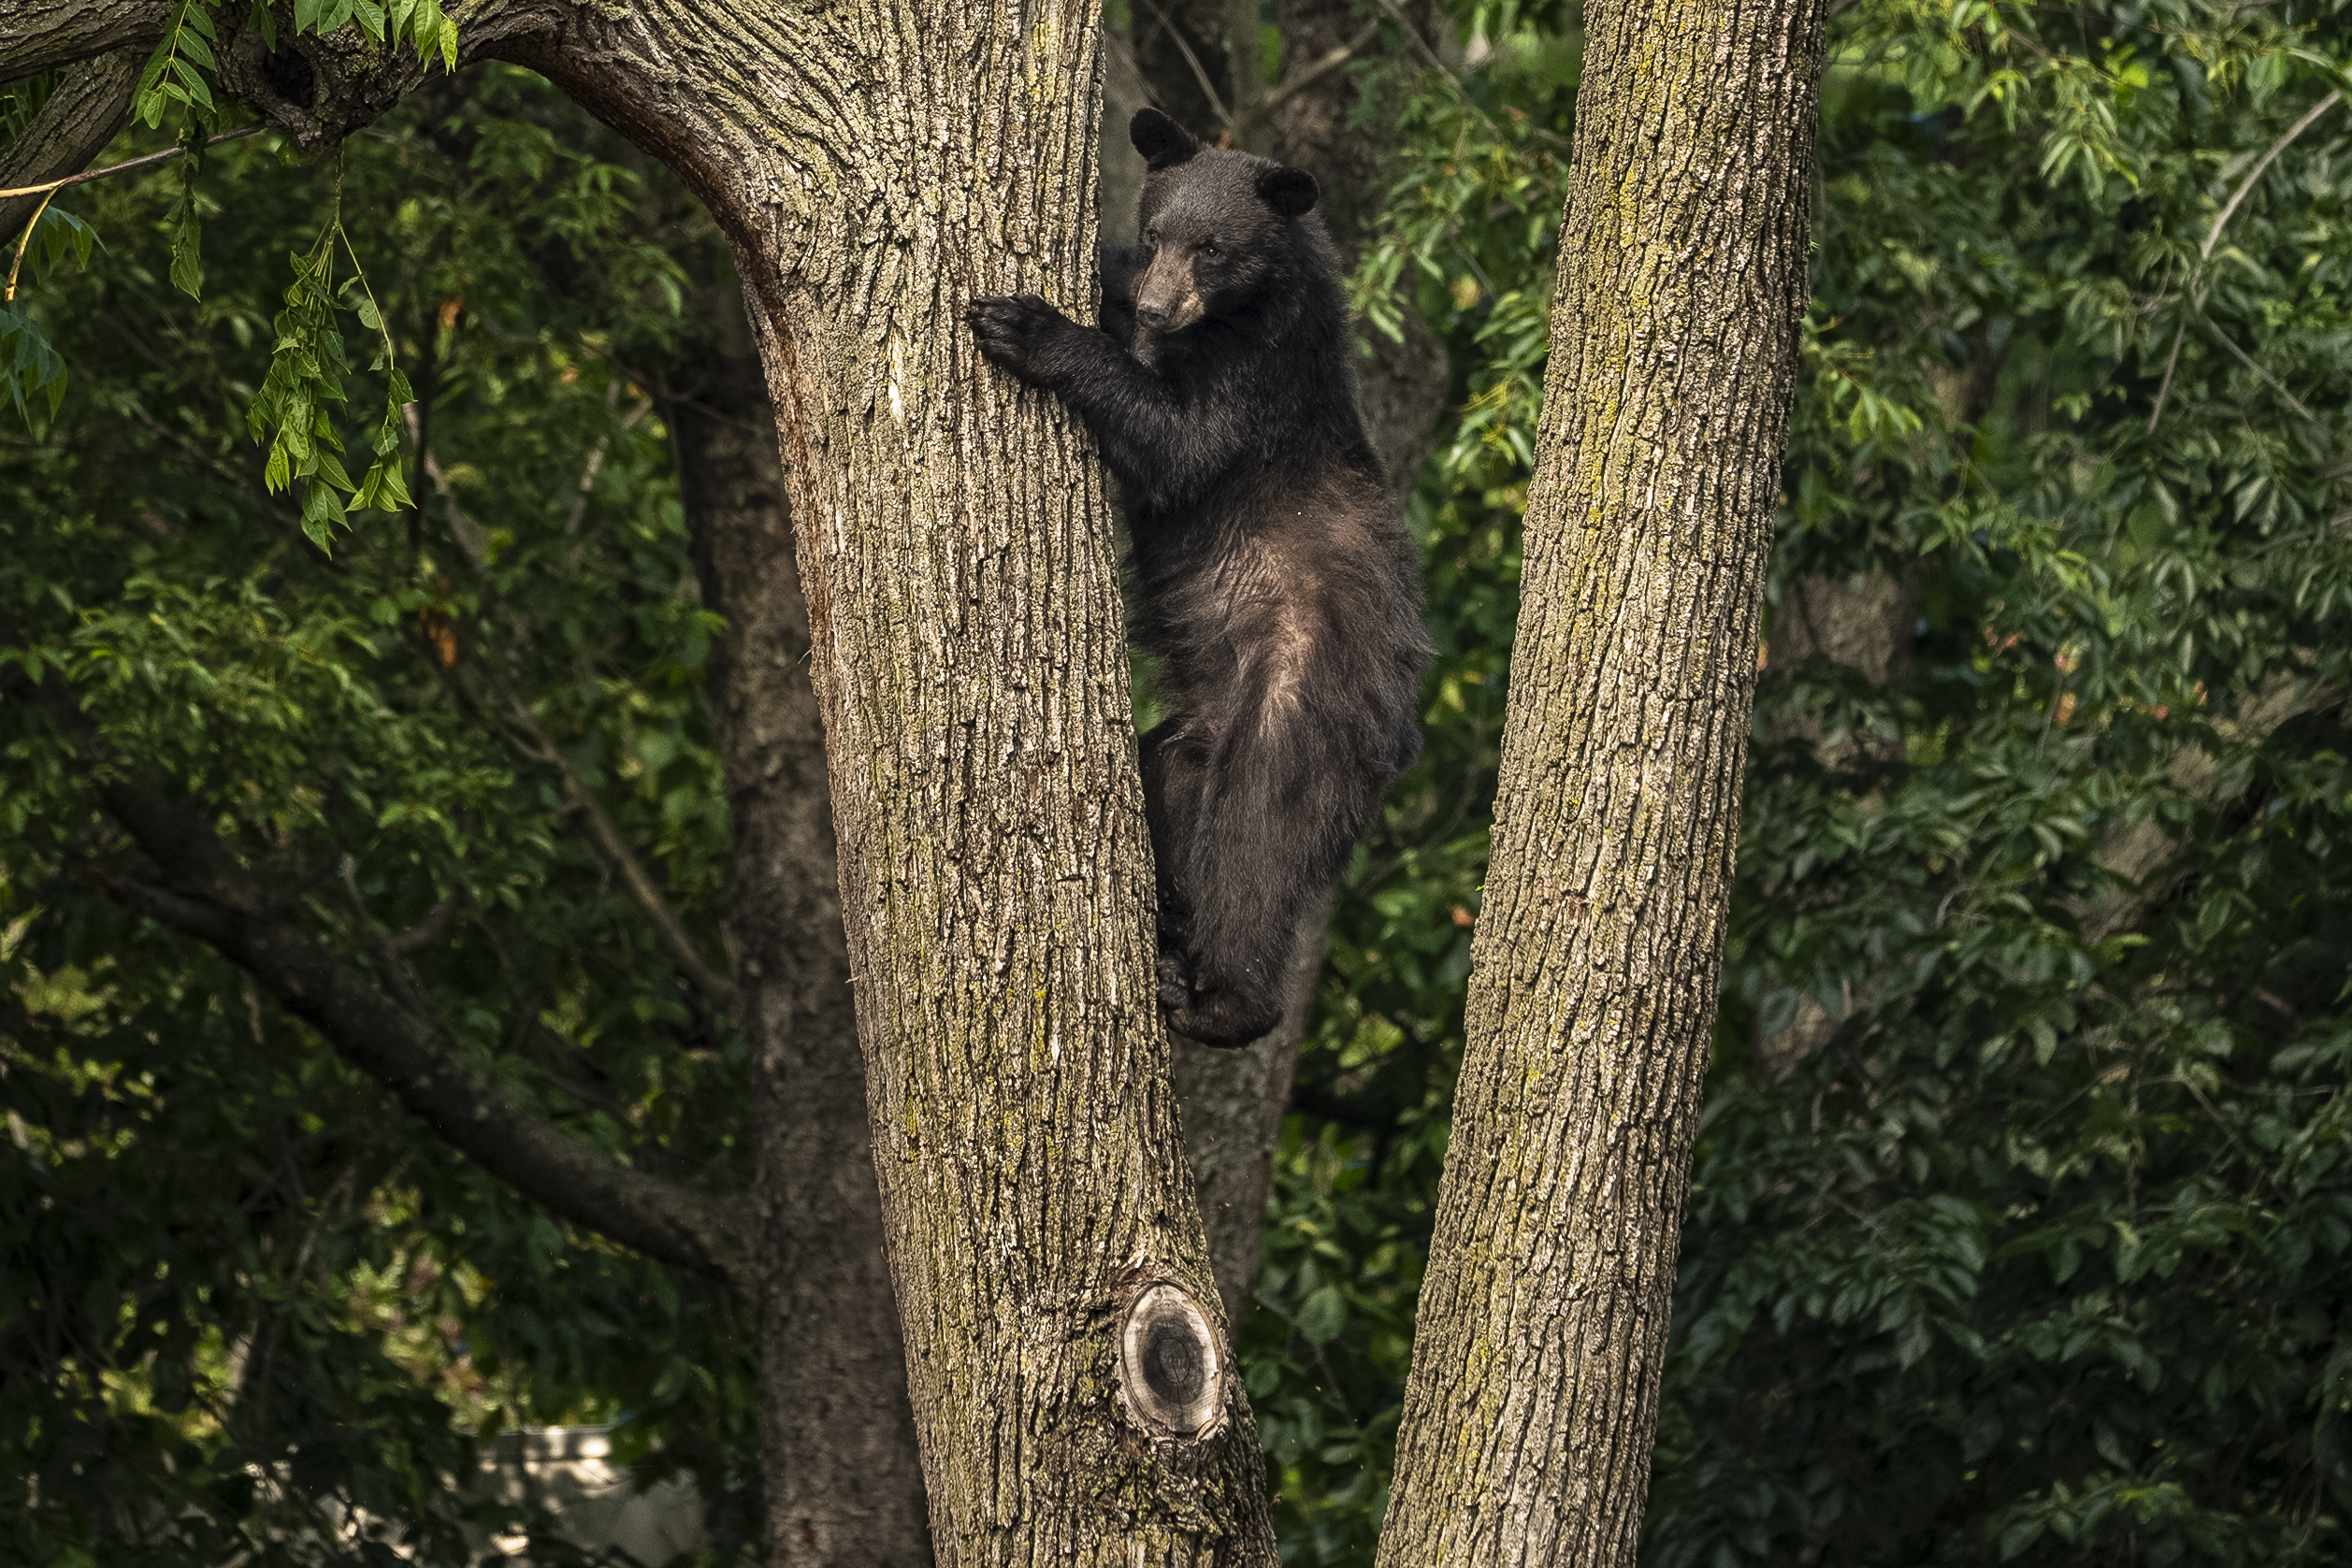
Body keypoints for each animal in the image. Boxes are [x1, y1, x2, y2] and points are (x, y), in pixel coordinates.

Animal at [965, 107, 1430, 1048]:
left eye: (1212, 248)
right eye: (1157, 234)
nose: (1157, 302)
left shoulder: (1256, 386)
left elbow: (1177, 443)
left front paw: (1026, 325)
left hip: (1302, 691)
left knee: (1258, 838)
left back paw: (1222, 1002)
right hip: (1200, 726)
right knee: (1174, 776)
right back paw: (1172, 943)